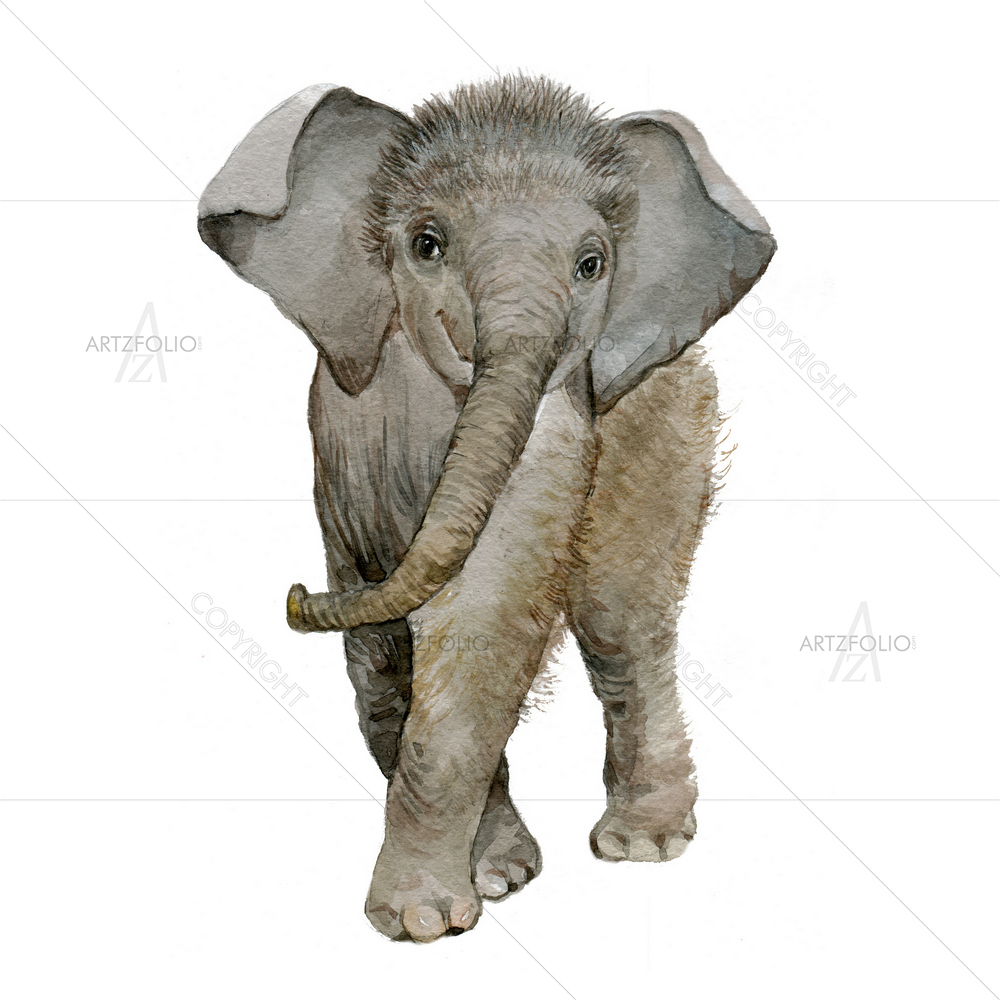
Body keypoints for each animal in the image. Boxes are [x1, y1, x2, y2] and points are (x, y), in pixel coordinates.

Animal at [198, 75, 775, 942]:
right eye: (426, 244)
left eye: (592, 264)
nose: (297, 596)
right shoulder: (342, 426)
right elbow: (383, 660)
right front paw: (496, 879)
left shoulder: (557, 423)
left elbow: (483, 616)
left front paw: (419, 924)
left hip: (671, 429)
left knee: (620, 621)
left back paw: (642, 846)